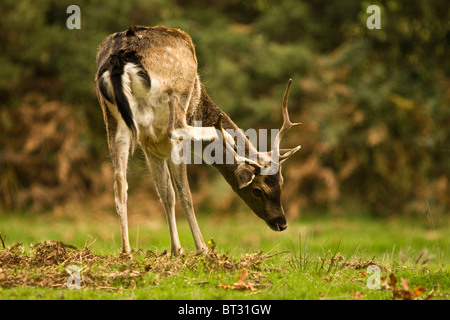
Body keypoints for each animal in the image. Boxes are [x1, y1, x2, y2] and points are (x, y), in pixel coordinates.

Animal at [94, 25, 298, 255]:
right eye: (257, 190)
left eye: (281, 182)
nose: (282, 223)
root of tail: (121, 57)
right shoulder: (167, 144)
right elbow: (184, 194)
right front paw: (200, 249)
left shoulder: (149, 146)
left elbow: (166, 194)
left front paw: (176, 250)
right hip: (177, 90)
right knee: (176, 128)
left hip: (112, 117)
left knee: (119, 183)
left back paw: (126, 251)